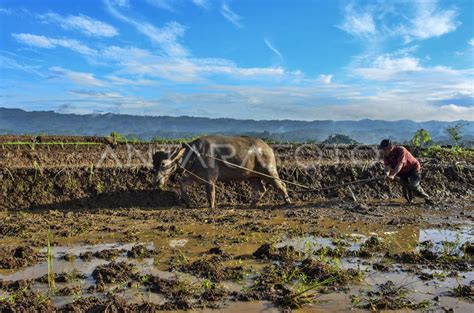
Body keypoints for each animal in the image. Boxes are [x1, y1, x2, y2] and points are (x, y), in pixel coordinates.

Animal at [154, 135, 290, 208]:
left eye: (163, 164)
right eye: (154, 165)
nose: (156, 182)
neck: (195, 154)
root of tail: (267, 147)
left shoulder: (210, 179)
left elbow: (211, 194)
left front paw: (212, 207)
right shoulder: (196, 176)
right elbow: (182, 182)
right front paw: (188, 202)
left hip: (269, 171)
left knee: (281, 185)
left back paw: (287, 201)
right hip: (253, 176)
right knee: (260, 190)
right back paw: (252, 204)